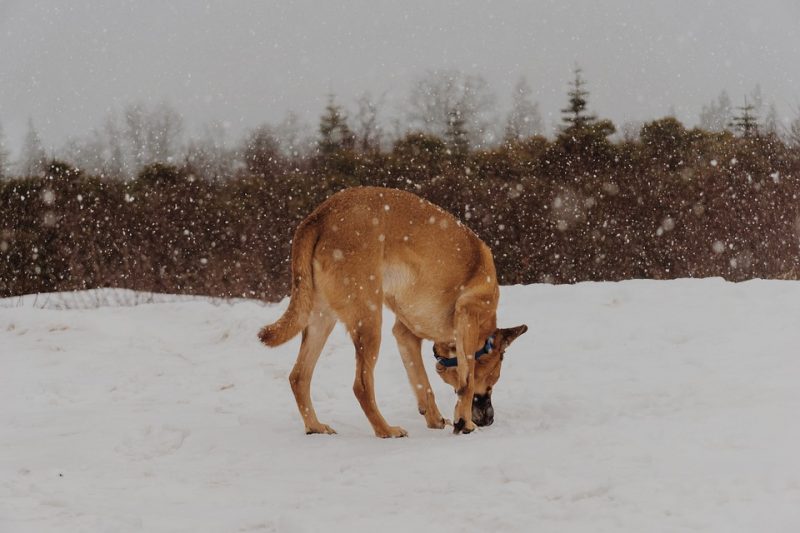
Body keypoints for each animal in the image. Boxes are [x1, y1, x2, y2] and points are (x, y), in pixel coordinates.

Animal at [260, 187, 528, 436]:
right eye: (492, 382)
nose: (489, 420)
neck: (483, 328)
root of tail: (319, 215)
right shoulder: (468, 315)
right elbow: (467, 381)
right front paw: (464, 422)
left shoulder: (405, 335)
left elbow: (423, 384)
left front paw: (435, 419)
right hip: (369, 319)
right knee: (361, 385)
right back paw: (385, 430)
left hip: (321, 318)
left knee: (299, 376)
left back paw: (315, 426)